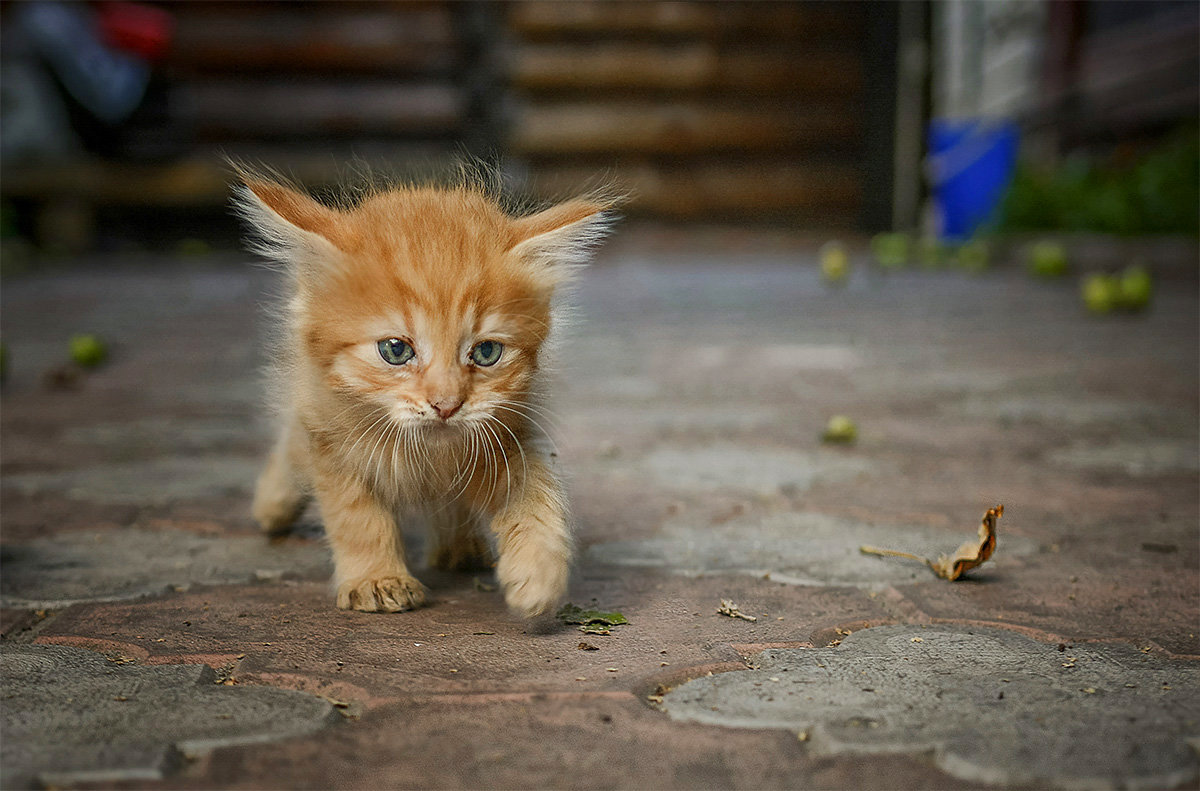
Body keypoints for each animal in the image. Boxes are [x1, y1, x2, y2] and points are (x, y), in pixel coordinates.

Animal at [236, 171, 609, 619]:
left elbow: (537, 495)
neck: (429, 454)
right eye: (396, 350)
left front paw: (538, 572)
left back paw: (458, 546)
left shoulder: (506, 434)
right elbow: (356, 516)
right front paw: (376, 579)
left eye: (487, 352)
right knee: (291, 446)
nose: (446, 405)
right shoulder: (329, 438)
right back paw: (273, 506)